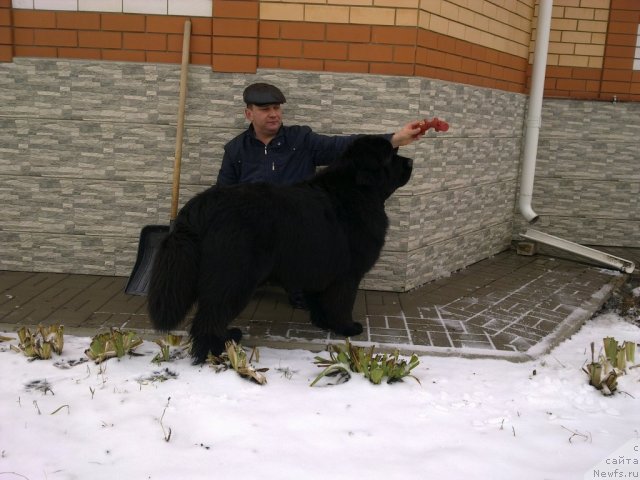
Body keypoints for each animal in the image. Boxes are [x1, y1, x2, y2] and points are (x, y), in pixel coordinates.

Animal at [148, 135, 412, 364]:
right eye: (391, 155)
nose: (411, 162)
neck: (358, 189)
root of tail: (201, 205)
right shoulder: (347, 274)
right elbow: (342, 302)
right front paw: (347, 327)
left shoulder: (319, 266)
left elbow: (320, 300)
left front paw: (323, 322)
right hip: (235, 276)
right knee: (210, 317)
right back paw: (217, 349)